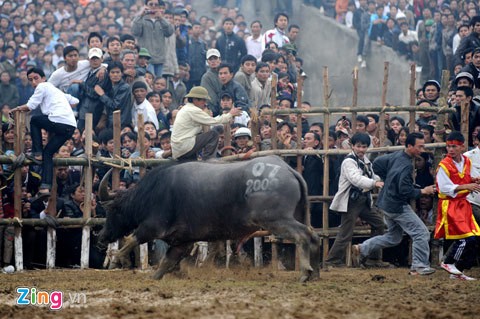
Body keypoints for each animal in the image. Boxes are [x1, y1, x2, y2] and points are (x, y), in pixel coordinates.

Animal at [98, 156, 320, 282]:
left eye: (111, 211)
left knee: (303, 236)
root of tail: (288, 170)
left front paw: (118, 257)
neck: (150, 193)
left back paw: (305, 273)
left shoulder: (153, 226)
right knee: (314, 236)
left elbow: (133, 239)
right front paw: (155, 276)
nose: (102, 236)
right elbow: (167, 261)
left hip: (276, 220)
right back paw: (315, 273)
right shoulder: (183, 240)